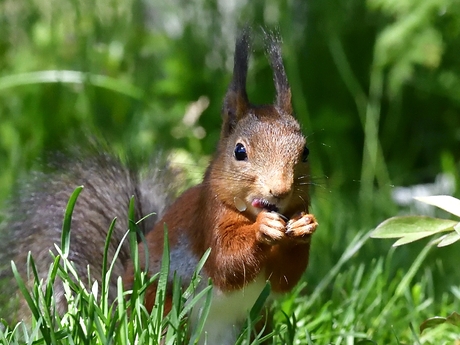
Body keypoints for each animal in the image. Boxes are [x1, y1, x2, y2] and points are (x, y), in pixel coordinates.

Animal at [122, 29, 318, 344]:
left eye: (306, 152)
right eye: (239, 151)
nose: (280, 191)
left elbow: (284, 277)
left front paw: (303, 226)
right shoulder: (208, 217)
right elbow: (226, 262)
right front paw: (262, 229)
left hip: (258, 321)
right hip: (161, 306)